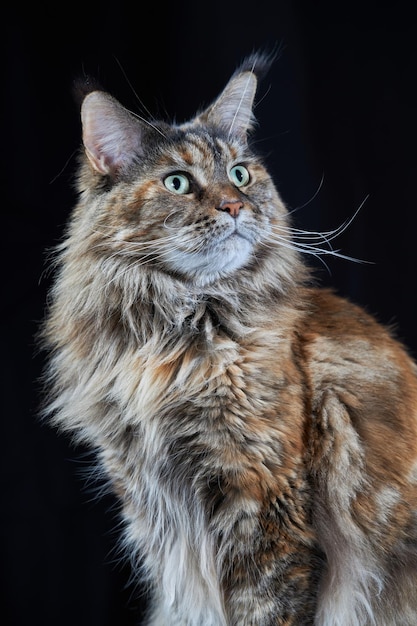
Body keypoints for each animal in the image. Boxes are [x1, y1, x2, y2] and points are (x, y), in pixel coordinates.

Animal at [41, 54, 416, 624]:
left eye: (240, 174)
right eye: (177, 182)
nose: (235, 207)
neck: (175, 336)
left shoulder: (264, 497)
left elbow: (266, 606)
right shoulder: (150, 504)